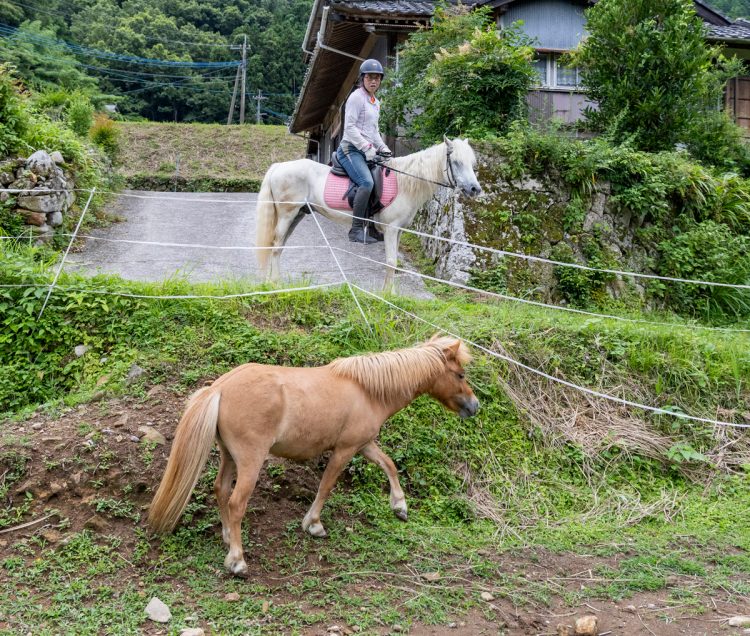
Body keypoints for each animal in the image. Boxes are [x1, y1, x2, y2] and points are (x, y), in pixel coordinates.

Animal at [148, 336, 478, 580]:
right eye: (460, 374)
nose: (474, 406)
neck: (368, 390)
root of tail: (219, 387)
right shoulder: (345, 450)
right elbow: (326, 486)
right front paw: (313, 524)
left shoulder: (364, 445)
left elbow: (389, 465)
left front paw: (399, 506)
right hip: (251, 462)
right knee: (236, 503)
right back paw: (238, 561)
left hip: (229, 456)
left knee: (220, 489)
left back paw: (229, 538)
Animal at [258, 139, 482, 290]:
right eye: (456, 162)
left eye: (472, 163)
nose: (475, 189)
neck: (405, 183)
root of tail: (278, 167)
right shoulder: (391, 229)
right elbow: (391, 262)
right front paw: (387, 295)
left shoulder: (399, 231)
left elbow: (393, 263)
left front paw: (390, 294)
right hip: (287, 213)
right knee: (276, 246)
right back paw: (275, 284)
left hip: (297, 214)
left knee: (278, 246)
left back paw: (270, 282)